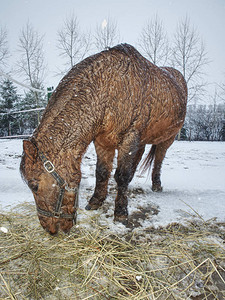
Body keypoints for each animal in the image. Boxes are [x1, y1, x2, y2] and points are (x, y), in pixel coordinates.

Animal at [20, 44, 187, 234]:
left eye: (34, 185)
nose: (49, 229)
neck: (108, 88)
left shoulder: (129, 138)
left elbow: (122, 176)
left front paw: (121, 212)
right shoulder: (102, 142)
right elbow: (102, 172)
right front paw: (96, 201)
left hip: (168, 139)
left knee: (158, 159)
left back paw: (157, 185)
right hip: (141, 140)